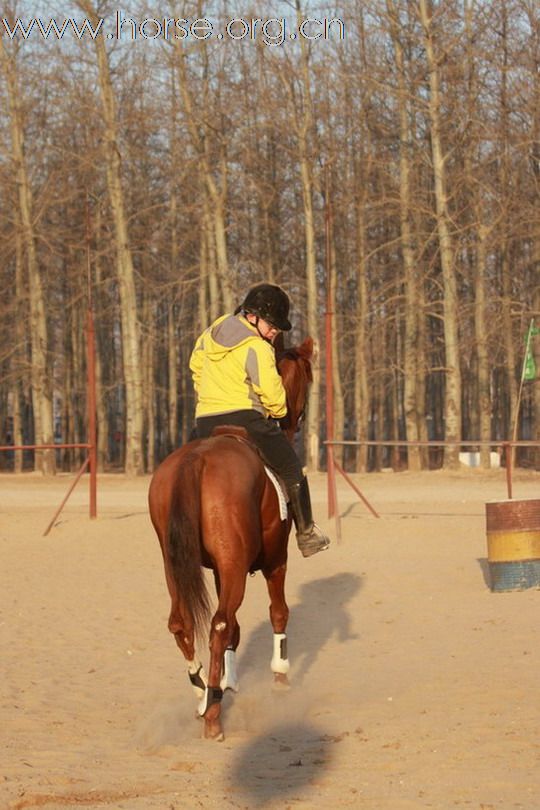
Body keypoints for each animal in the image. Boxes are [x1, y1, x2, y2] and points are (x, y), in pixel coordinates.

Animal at [150, 334, 314, 740]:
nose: (295, 418)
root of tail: (197, 460)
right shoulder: (274, 561)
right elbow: (278, 613)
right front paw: (280, 678)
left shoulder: (221, 570)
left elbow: (238, 630)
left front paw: (227, 682)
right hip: (237, 565)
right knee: (219, 624)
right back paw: (212, 715)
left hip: (176, 564)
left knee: (183, 622)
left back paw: (202, 693)